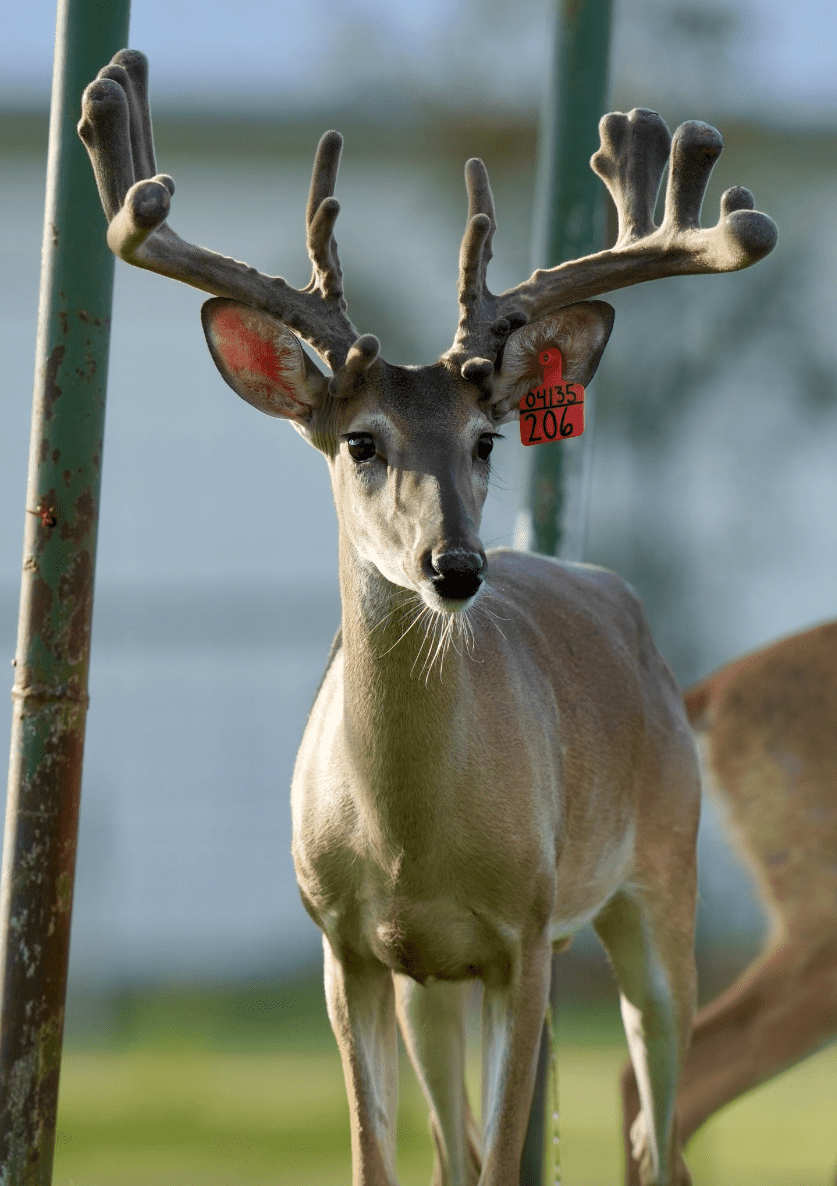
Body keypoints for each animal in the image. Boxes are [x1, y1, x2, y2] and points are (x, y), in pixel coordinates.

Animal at [78, 49, 777, 1186]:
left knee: (655, 1137)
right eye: (361, 441)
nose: (455, 565)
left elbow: (500, 1161)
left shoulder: (524, 931)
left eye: (489, 439)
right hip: (438, 986)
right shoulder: (350, 942)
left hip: (659, 877)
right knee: (469, 1143)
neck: (412, 838)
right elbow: (391, 1158)